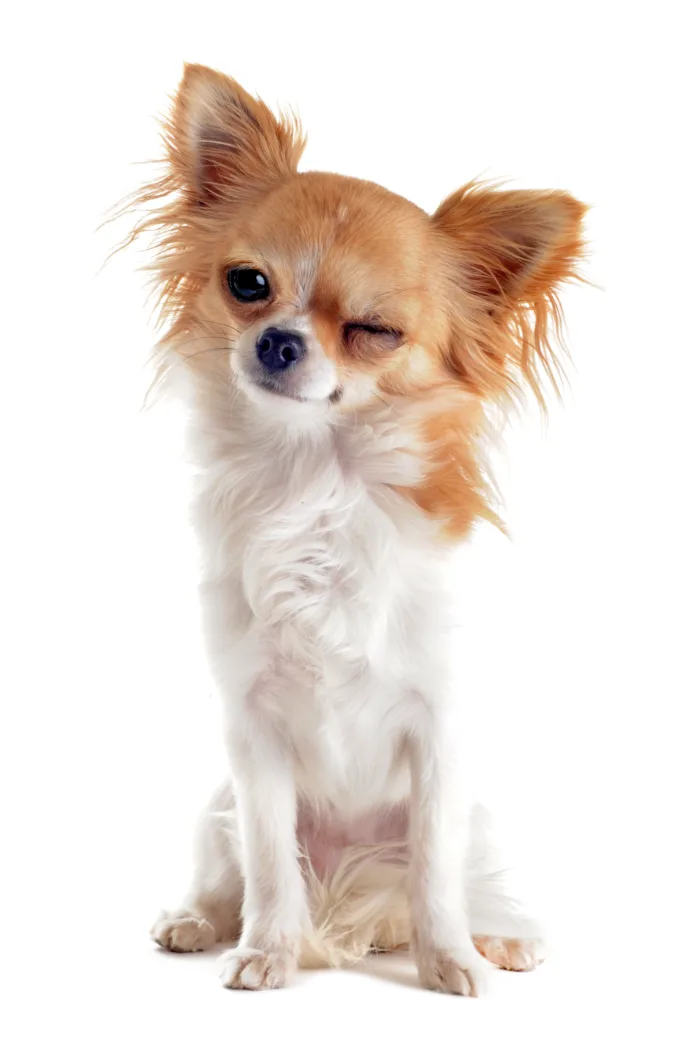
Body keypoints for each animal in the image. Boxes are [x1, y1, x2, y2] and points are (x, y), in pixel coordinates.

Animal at [126, 61, 588, 989]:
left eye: (375, 330)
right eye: (247, 284)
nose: (277, 341)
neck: (318, 478)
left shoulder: (439, 732)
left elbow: (434, 871)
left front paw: (450, 962)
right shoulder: (254, 736)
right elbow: (270, 861)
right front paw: (267, 951)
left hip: (475, 820)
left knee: (448, 879)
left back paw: (499, 938)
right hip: (218, 806)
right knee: (231, 872)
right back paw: (199, 922)